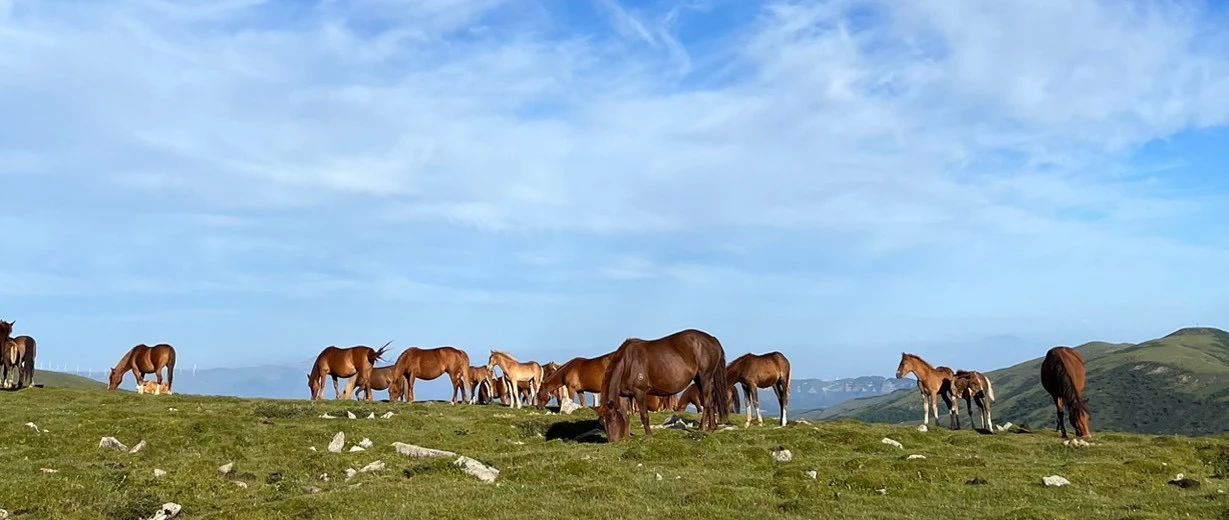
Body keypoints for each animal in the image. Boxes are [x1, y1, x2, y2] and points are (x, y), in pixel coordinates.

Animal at [597, 329, 727, 445]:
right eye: (601, 422)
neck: (627, 363)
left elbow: (644, 415)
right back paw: (711, 428)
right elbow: (626, 416)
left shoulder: (640, 392)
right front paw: (627, 437)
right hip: (699, 379)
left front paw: (649, 436)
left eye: (612, 416)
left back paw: (702, 428)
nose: (613, 441)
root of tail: (712, 339)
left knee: (707, 401)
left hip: (705, 376)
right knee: (710, 401)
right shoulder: (624, 396)